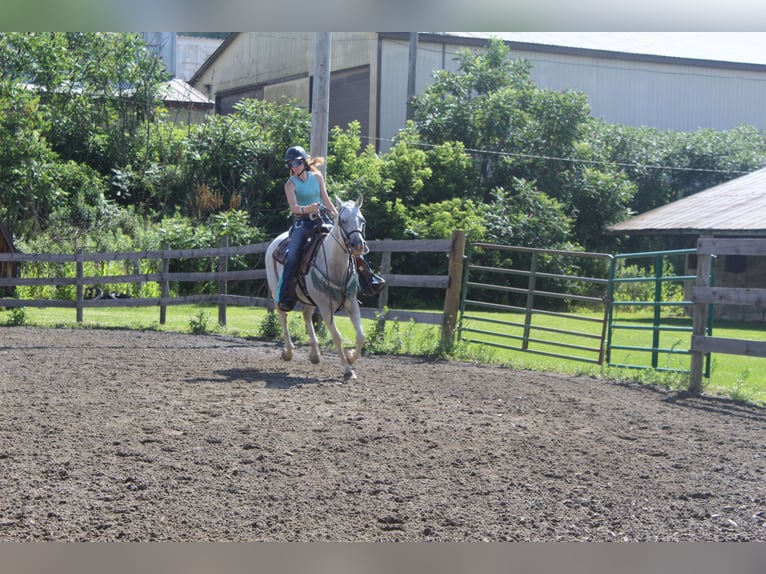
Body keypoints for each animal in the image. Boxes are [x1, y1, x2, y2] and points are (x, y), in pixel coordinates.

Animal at [268, 195, 368, 382]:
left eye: (362, 220)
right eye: (342, 221)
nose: (358, 245)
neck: (335, 264)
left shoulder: (351, 303)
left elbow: (361, 336)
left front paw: (351, 357)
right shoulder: (325, 307)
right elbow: (337, 337)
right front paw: (348, 370)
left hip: (307, 299)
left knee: (307, 316)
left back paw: (314, 354)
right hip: (276, 292)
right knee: (283, 317)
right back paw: (288, 352)